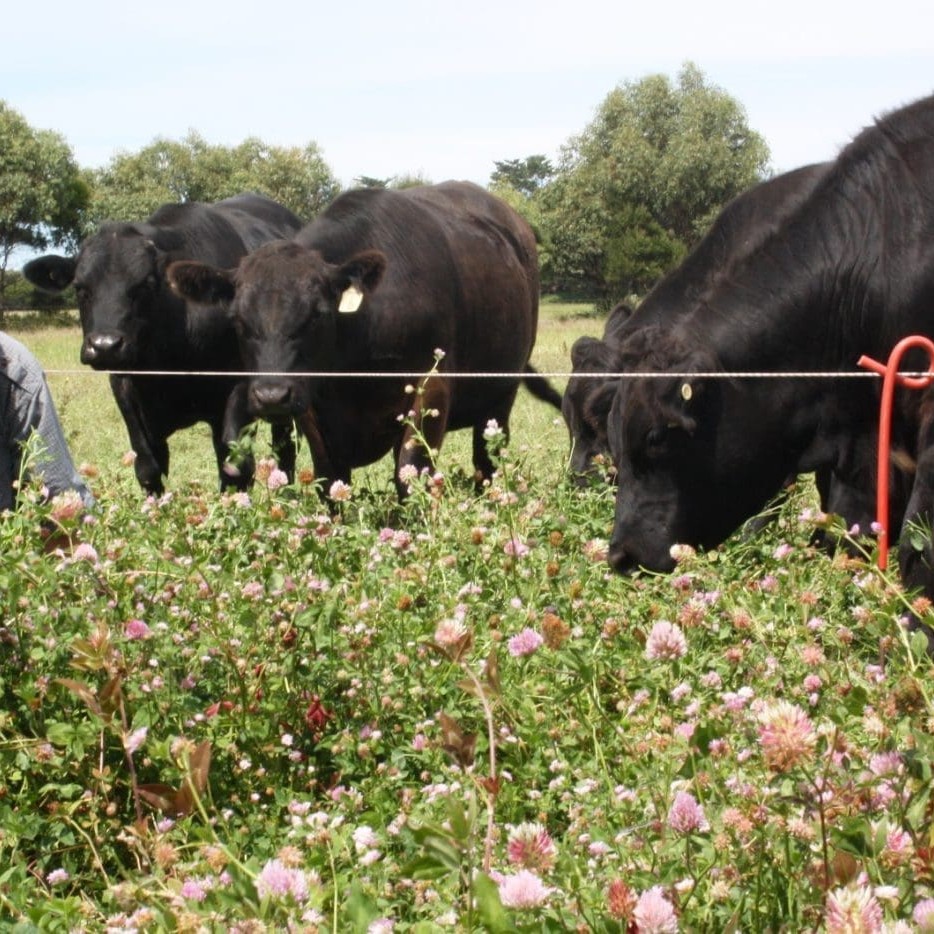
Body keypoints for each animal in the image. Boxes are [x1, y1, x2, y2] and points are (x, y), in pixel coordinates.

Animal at [23, 194, 304, 494]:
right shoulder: (124, 388)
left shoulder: (240, 385)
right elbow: (148, 466)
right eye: (79, 287)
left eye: (145, 284)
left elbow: (236, 465)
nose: (104, 345)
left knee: (284, 446)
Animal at [166, 178, 564, 494]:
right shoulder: (313, 407)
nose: (272, 395)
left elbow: (411, 472)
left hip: (499, 395)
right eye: (238, 319)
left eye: (317, 314)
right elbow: (330, 478)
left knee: (487, 459)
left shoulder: (431, 387)